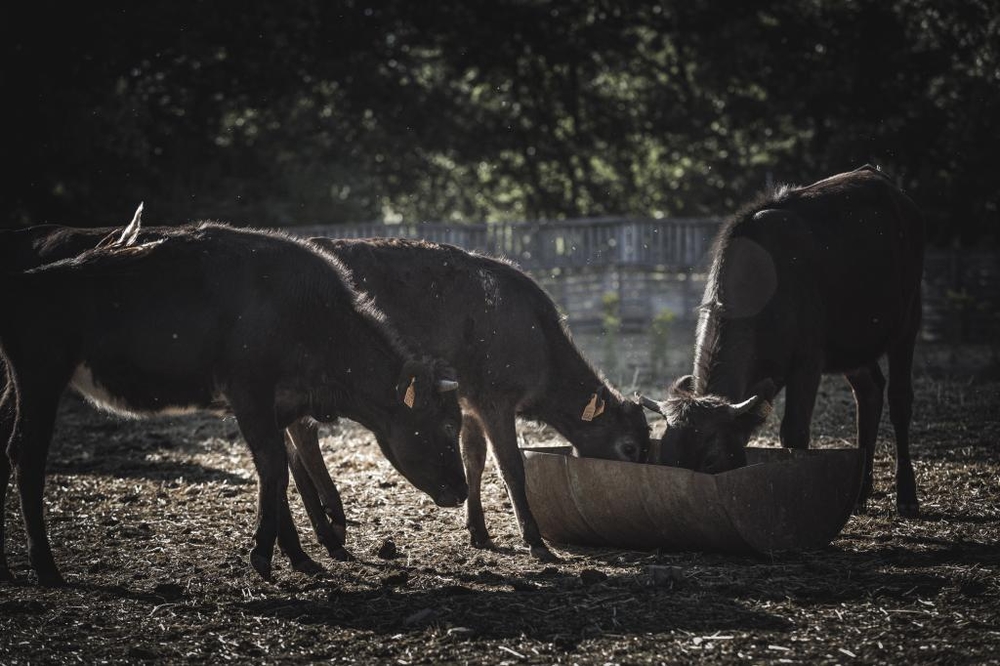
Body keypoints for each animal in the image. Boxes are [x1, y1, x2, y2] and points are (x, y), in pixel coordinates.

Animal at [0, 222, 468, 580]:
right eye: (447, 426)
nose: (462, 491)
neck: (312, 315)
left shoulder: (278, 408)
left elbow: (279, 473)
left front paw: (298, 556)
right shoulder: (249, 393)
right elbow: (274, 467)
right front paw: (264, 554)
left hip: (17, 384)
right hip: (41, 377)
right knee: (26, 454)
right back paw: (46, 568)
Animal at [284, 239, 656, 560]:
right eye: (628, 447)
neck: (541, 343)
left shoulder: (471, 402)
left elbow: (473, 460)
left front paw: (478, 531)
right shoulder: (496, 400)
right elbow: (510, 466)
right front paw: (534, 539)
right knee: (303, 433)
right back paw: (333, 524)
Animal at [644, 165, 924, 512]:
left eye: (710, 460)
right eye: (667, 458)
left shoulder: (808, 362)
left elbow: (794, 433)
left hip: (907, 321)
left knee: (900, 400)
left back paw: (907, 496)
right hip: (853, 347)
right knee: (869, 392)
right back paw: (860, 492)